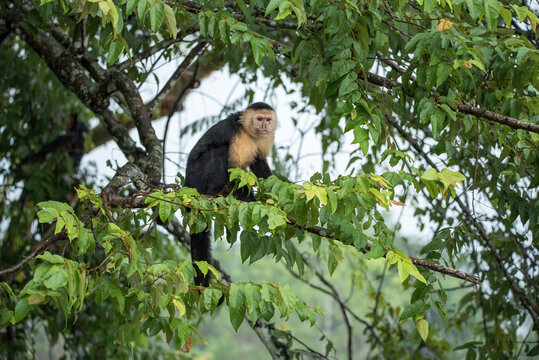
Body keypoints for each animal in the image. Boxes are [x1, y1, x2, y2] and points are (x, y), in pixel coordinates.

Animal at [186, 102, 278, 286]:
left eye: (268, 119)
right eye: (259, 119)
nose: (264, 126)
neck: (250, 132)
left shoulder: (265, 138)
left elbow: (259, 163)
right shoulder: (240, 137)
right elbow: (235, 169)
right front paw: (254, 201)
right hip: (198, 177)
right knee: (220, 150)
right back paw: (215, 191)